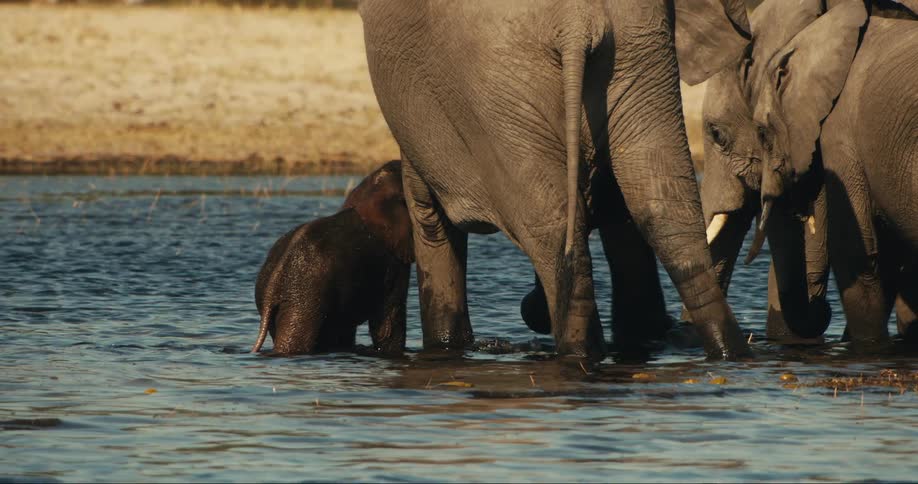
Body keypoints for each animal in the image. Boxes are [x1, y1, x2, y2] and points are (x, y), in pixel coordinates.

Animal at [359, 0, 753, 360]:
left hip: (495, 87)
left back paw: (578, 356)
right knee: (666, 210)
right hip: (637, 56)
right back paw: (727, 353)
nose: (530, 309)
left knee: (554, 229)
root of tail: (576, 22)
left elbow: (429, 218)